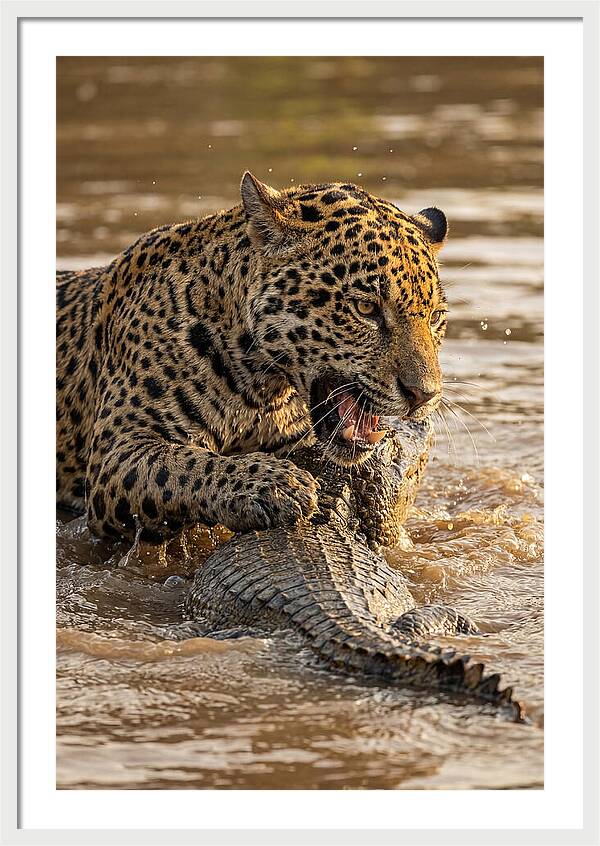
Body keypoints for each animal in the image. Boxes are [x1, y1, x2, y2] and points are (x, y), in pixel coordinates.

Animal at [56, 172, 449, 542]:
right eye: (366, 308)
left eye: (435, 317)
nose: (424, 395)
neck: (261, 388)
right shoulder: (118, 451)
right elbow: (183, 464)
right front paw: (274, 485)